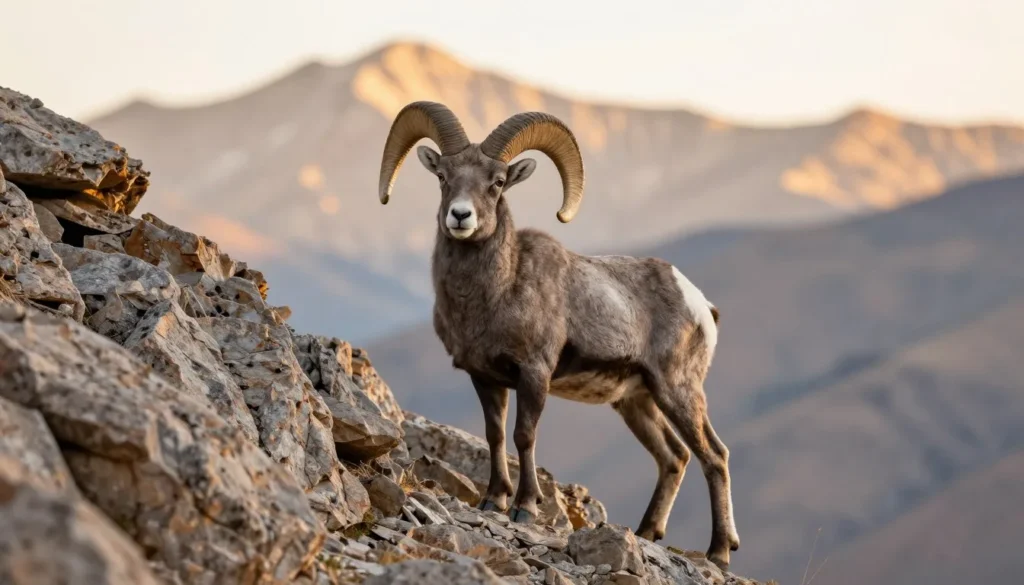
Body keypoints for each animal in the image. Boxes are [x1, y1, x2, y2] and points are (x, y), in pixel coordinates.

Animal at [376, 101, 741, 569]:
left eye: (497, 182)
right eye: (443, 176)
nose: (460, 216)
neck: (499, 290)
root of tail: (701, 305)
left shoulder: (534, 373)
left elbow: (523, 435)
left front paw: (524, 508)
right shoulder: (486, 378)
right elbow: (495, 435)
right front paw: (493, 501)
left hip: (678, 391)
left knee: (714, 455)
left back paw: (719, 552)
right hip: (637, 403)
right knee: (673, 457)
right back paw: (647, 533)